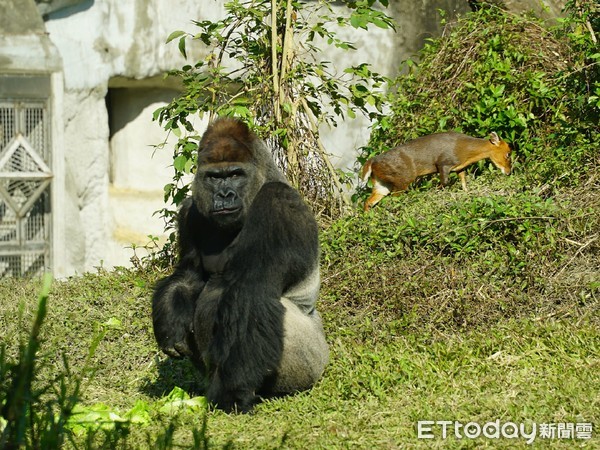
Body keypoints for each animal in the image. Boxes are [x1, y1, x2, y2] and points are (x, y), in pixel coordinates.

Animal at [150, 118, 328, 414]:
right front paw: (170, 323)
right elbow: (189, 276)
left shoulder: (277, 203)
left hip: (314, 362)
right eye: (214, 177)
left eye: (235, 174)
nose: (224, 194)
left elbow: (252, 293)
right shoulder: (190, 211)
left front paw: (233, 394)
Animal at [360, 132, 510, 211]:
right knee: (393, 198)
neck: (465, 152)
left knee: (369, 201)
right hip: (402, 178)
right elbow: (444, 183)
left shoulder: (459, 167)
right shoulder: (443, 163)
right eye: (508, 154)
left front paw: (467, 193)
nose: (508, 172)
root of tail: (372, 161)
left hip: (381, 182)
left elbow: (463, 180)